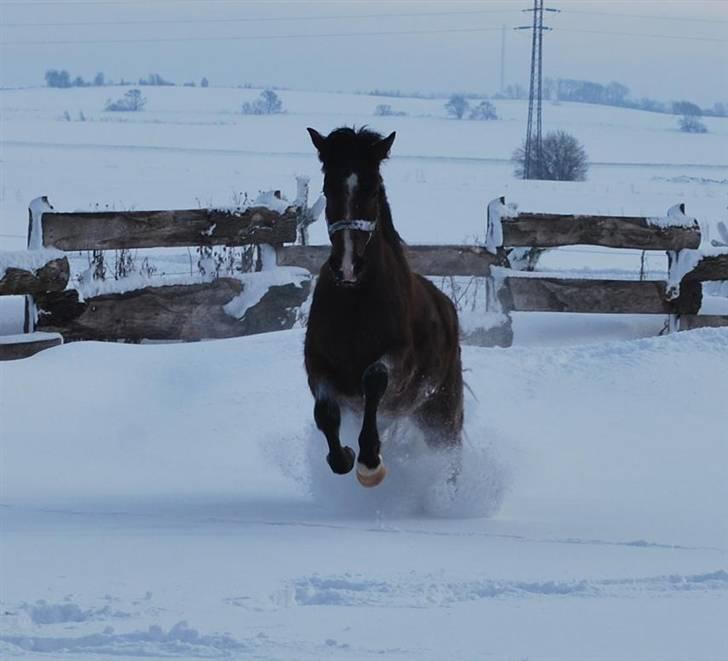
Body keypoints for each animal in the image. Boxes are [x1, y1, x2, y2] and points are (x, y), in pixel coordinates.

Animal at [302, 126, 464, 488]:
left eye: (373, 189)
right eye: (326, 187)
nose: (348, 267)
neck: (354, 305)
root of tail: (446, 306)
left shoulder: (399, 362)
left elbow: (374, 379)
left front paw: (370, 462)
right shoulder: (317, 364)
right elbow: (325, 413)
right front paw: (343, 457)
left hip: (439, 410)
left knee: (450, 450)